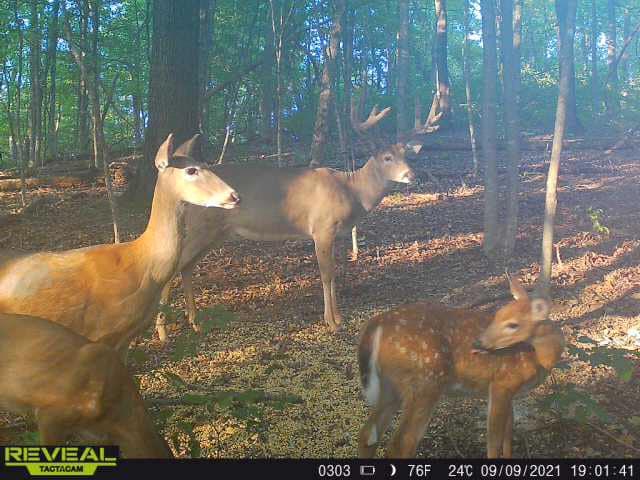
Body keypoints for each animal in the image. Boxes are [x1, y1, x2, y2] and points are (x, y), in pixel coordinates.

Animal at [0, 134, 239, 357]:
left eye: (206, 164)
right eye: (191, 170)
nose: (235, 196)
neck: (142, 264)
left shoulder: (125, 338)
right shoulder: (101, 333)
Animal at [155, 105, 425, 341]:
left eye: (406, 155)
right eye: (387, 157)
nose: (412, 175)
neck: (351, 191)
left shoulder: (335, 233)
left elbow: (334, 271)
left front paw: (338, 317)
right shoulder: (322, 227)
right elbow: (326, 273)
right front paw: (332, 322)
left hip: (216, 233)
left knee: (187, 267)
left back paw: (195, 322)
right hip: (199, 228)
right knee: (173, 266)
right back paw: (163, 332)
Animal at [357, 277, 565, 458]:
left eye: (513, 324)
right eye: (497, 316)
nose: (478, 343)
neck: (541, 358)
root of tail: (375, 325)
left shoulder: (511, 393)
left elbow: (508, 436)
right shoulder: (502, 383)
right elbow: (494, 442)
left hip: (391, 386)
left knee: (367, 435)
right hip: (425, 382)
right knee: (401, 445)